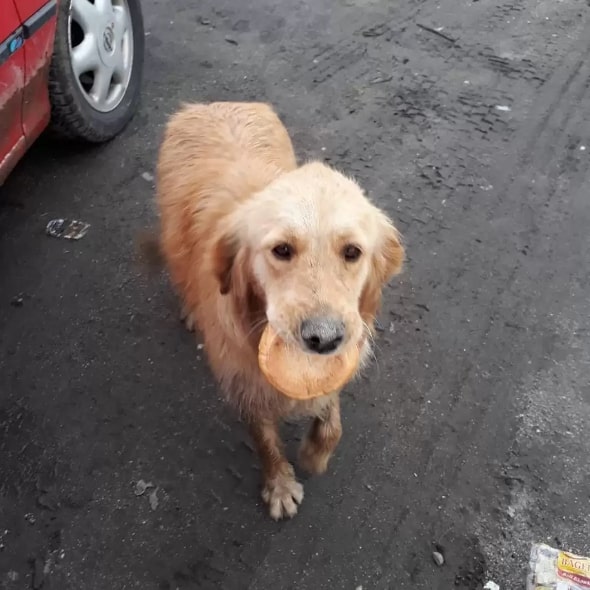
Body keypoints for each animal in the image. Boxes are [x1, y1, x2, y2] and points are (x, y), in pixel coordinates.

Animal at [151, 104, 408, 520]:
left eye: (352, 251)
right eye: (282, 250)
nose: (324, 338)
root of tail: (210, 104)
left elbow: (331, 420)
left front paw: (315, 455)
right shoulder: (244, 381)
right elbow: (264, 440)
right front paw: (280, 485)